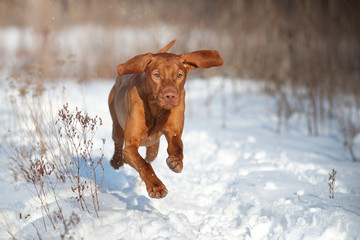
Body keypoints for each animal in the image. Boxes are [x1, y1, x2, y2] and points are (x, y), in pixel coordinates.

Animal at [108, 40, 224, 199]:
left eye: (179, 75)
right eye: (156, 74)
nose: (170, 96)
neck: (156, 109)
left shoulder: (173, 132)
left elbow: (177, 147)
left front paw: (176, 161)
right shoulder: (130, 145)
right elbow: (143, 164)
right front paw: (156, 186)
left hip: (153, 148)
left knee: (148, 157)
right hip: (117, 127)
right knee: (119, 144)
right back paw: (117, 161)